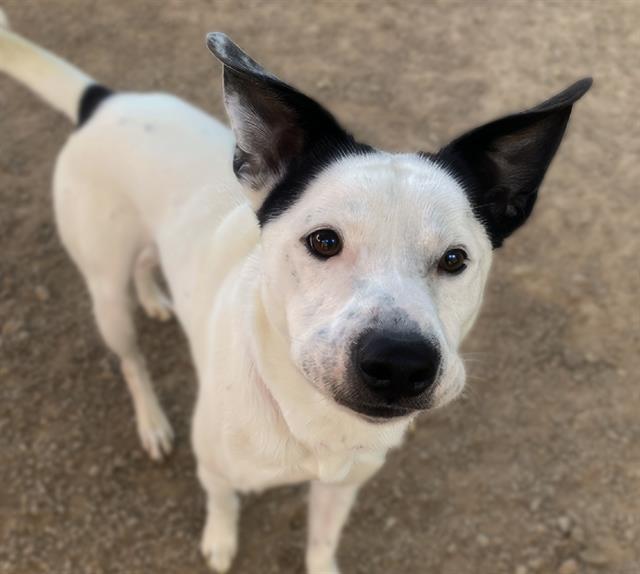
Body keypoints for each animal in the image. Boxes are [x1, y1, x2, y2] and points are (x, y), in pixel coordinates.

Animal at [0, 13, 592, 574]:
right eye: (324, 241)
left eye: (455, 259)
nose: (401, 365)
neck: (310, 417)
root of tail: (104, 100)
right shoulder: (215, 470)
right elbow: (222, 505)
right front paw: (220, 541)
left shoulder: (341, 489)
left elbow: (321, 544)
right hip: (105, 291)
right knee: (130, 359)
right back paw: (151, 421)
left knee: (148, 263)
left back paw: (152, 296)